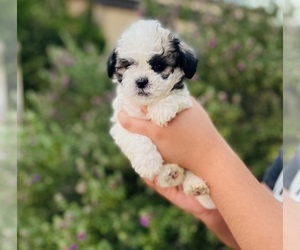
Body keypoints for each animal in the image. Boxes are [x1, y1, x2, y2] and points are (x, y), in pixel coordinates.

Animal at [108, 20, 216, 209]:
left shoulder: (184, 99)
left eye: (158, 66)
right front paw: (149, 163)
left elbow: (173, 96)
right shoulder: (122, 121)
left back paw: (195, 185)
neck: (147, 104)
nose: (141, 81)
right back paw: (170, 173)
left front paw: (161, 110)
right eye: (127, 66)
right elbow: (137, 139)